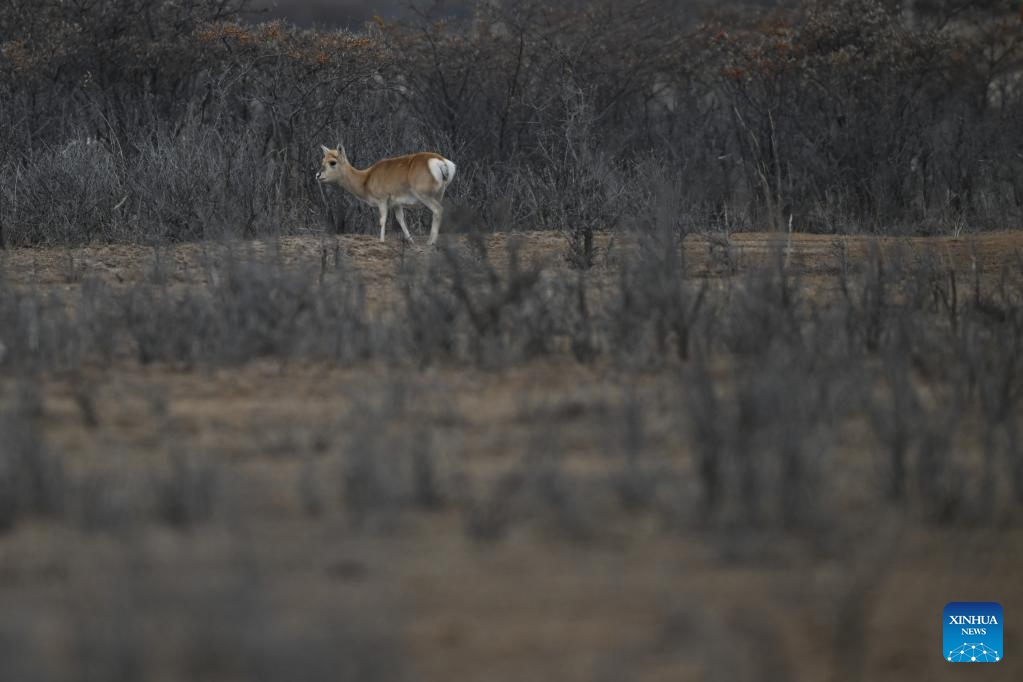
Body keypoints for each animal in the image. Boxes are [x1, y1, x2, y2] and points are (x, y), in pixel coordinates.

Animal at [316, 144, 456, 245]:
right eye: (323, 160)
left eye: (332, 162)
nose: (318, 175)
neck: (366, 179)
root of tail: (442, 162)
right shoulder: (396, 204)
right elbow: (400, 219)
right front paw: (410, 240)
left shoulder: (382, 199)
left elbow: (382, 220)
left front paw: (381, 240)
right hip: (439, 194)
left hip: (425, 195)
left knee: (438, 210)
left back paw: (430, 242)